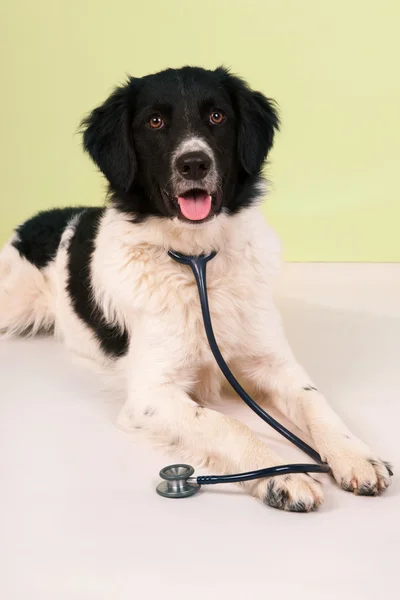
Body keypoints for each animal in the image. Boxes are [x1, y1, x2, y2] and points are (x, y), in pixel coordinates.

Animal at [0, 67, 392, 510]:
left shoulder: (273, 363)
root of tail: (40, 219)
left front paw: (356, 456)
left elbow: (316, 403)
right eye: (155, 121)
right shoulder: (151, 395)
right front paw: (283, 475)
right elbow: (227, 426)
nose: (194, 163)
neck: (197, 258)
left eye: (217, 116)